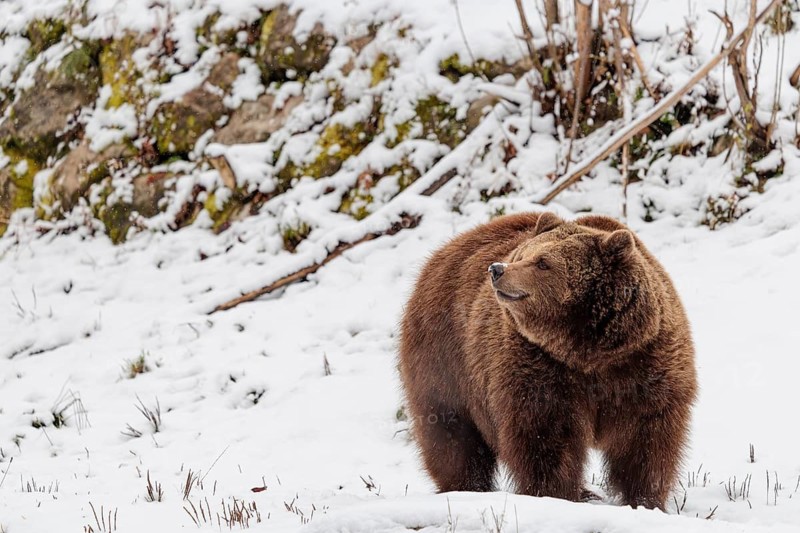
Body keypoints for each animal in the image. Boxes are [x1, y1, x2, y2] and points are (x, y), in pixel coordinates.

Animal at [398, 211, 697, 510]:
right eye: (521, 254)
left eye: (543, 262)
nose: (497, 269)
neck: (587, 351)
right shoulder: (538, 365)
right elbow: (547, 437)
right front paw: (556, 494)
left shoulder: (643, 364)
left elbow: (646, 439)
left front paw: (646, 499)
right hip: (445, 361)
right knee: (451, 433)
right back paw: (468, 487)